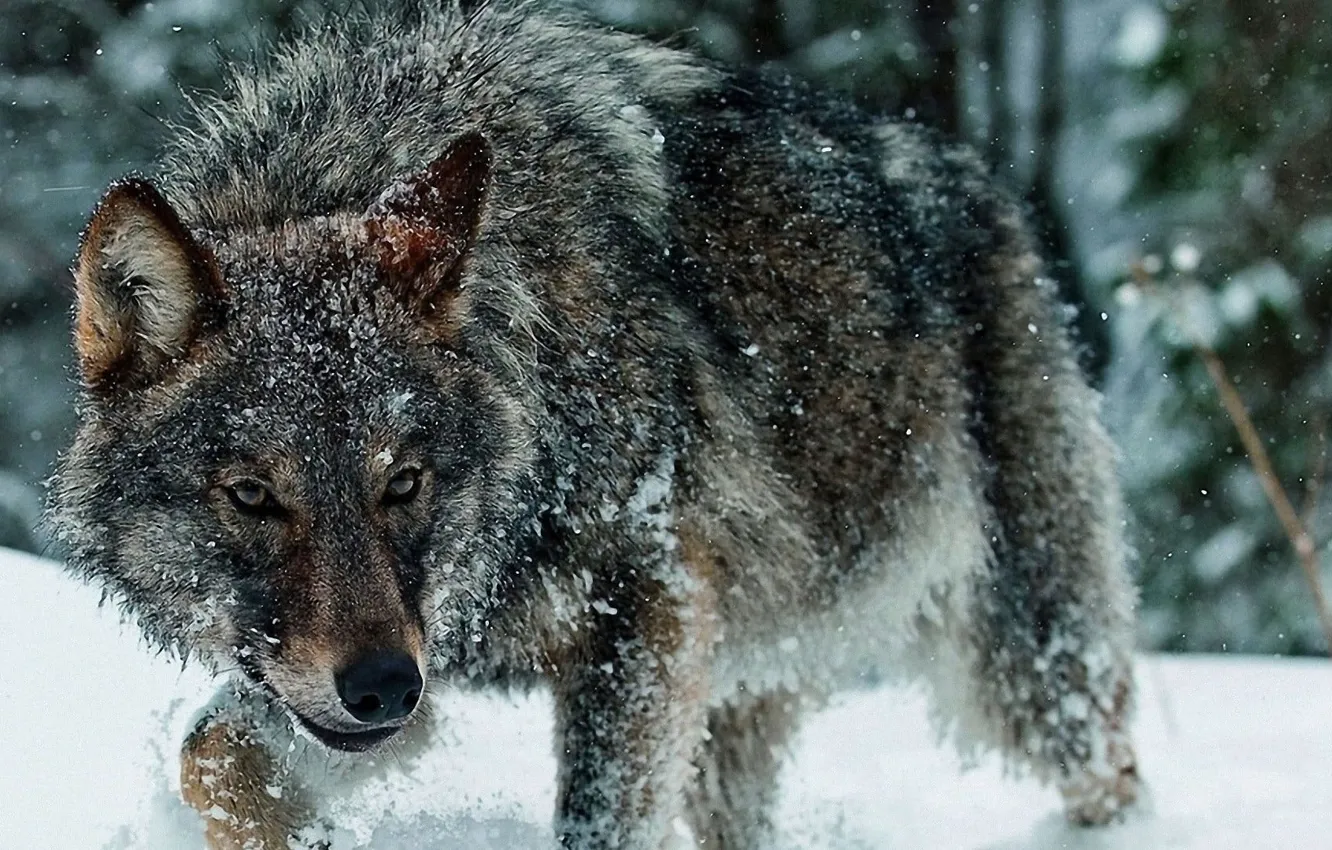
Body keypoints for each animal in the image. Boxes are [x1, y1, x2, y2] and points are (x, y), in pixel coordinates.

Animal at [51, 1, 1140, 847]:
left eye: (403, 482)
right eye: (250, 495)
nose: (384, 690)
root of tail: (982, 181)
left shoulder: (643, 606)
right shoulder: (402, 660)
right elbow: (210, 754)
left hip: (1028, 662)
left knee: (1112, 768)